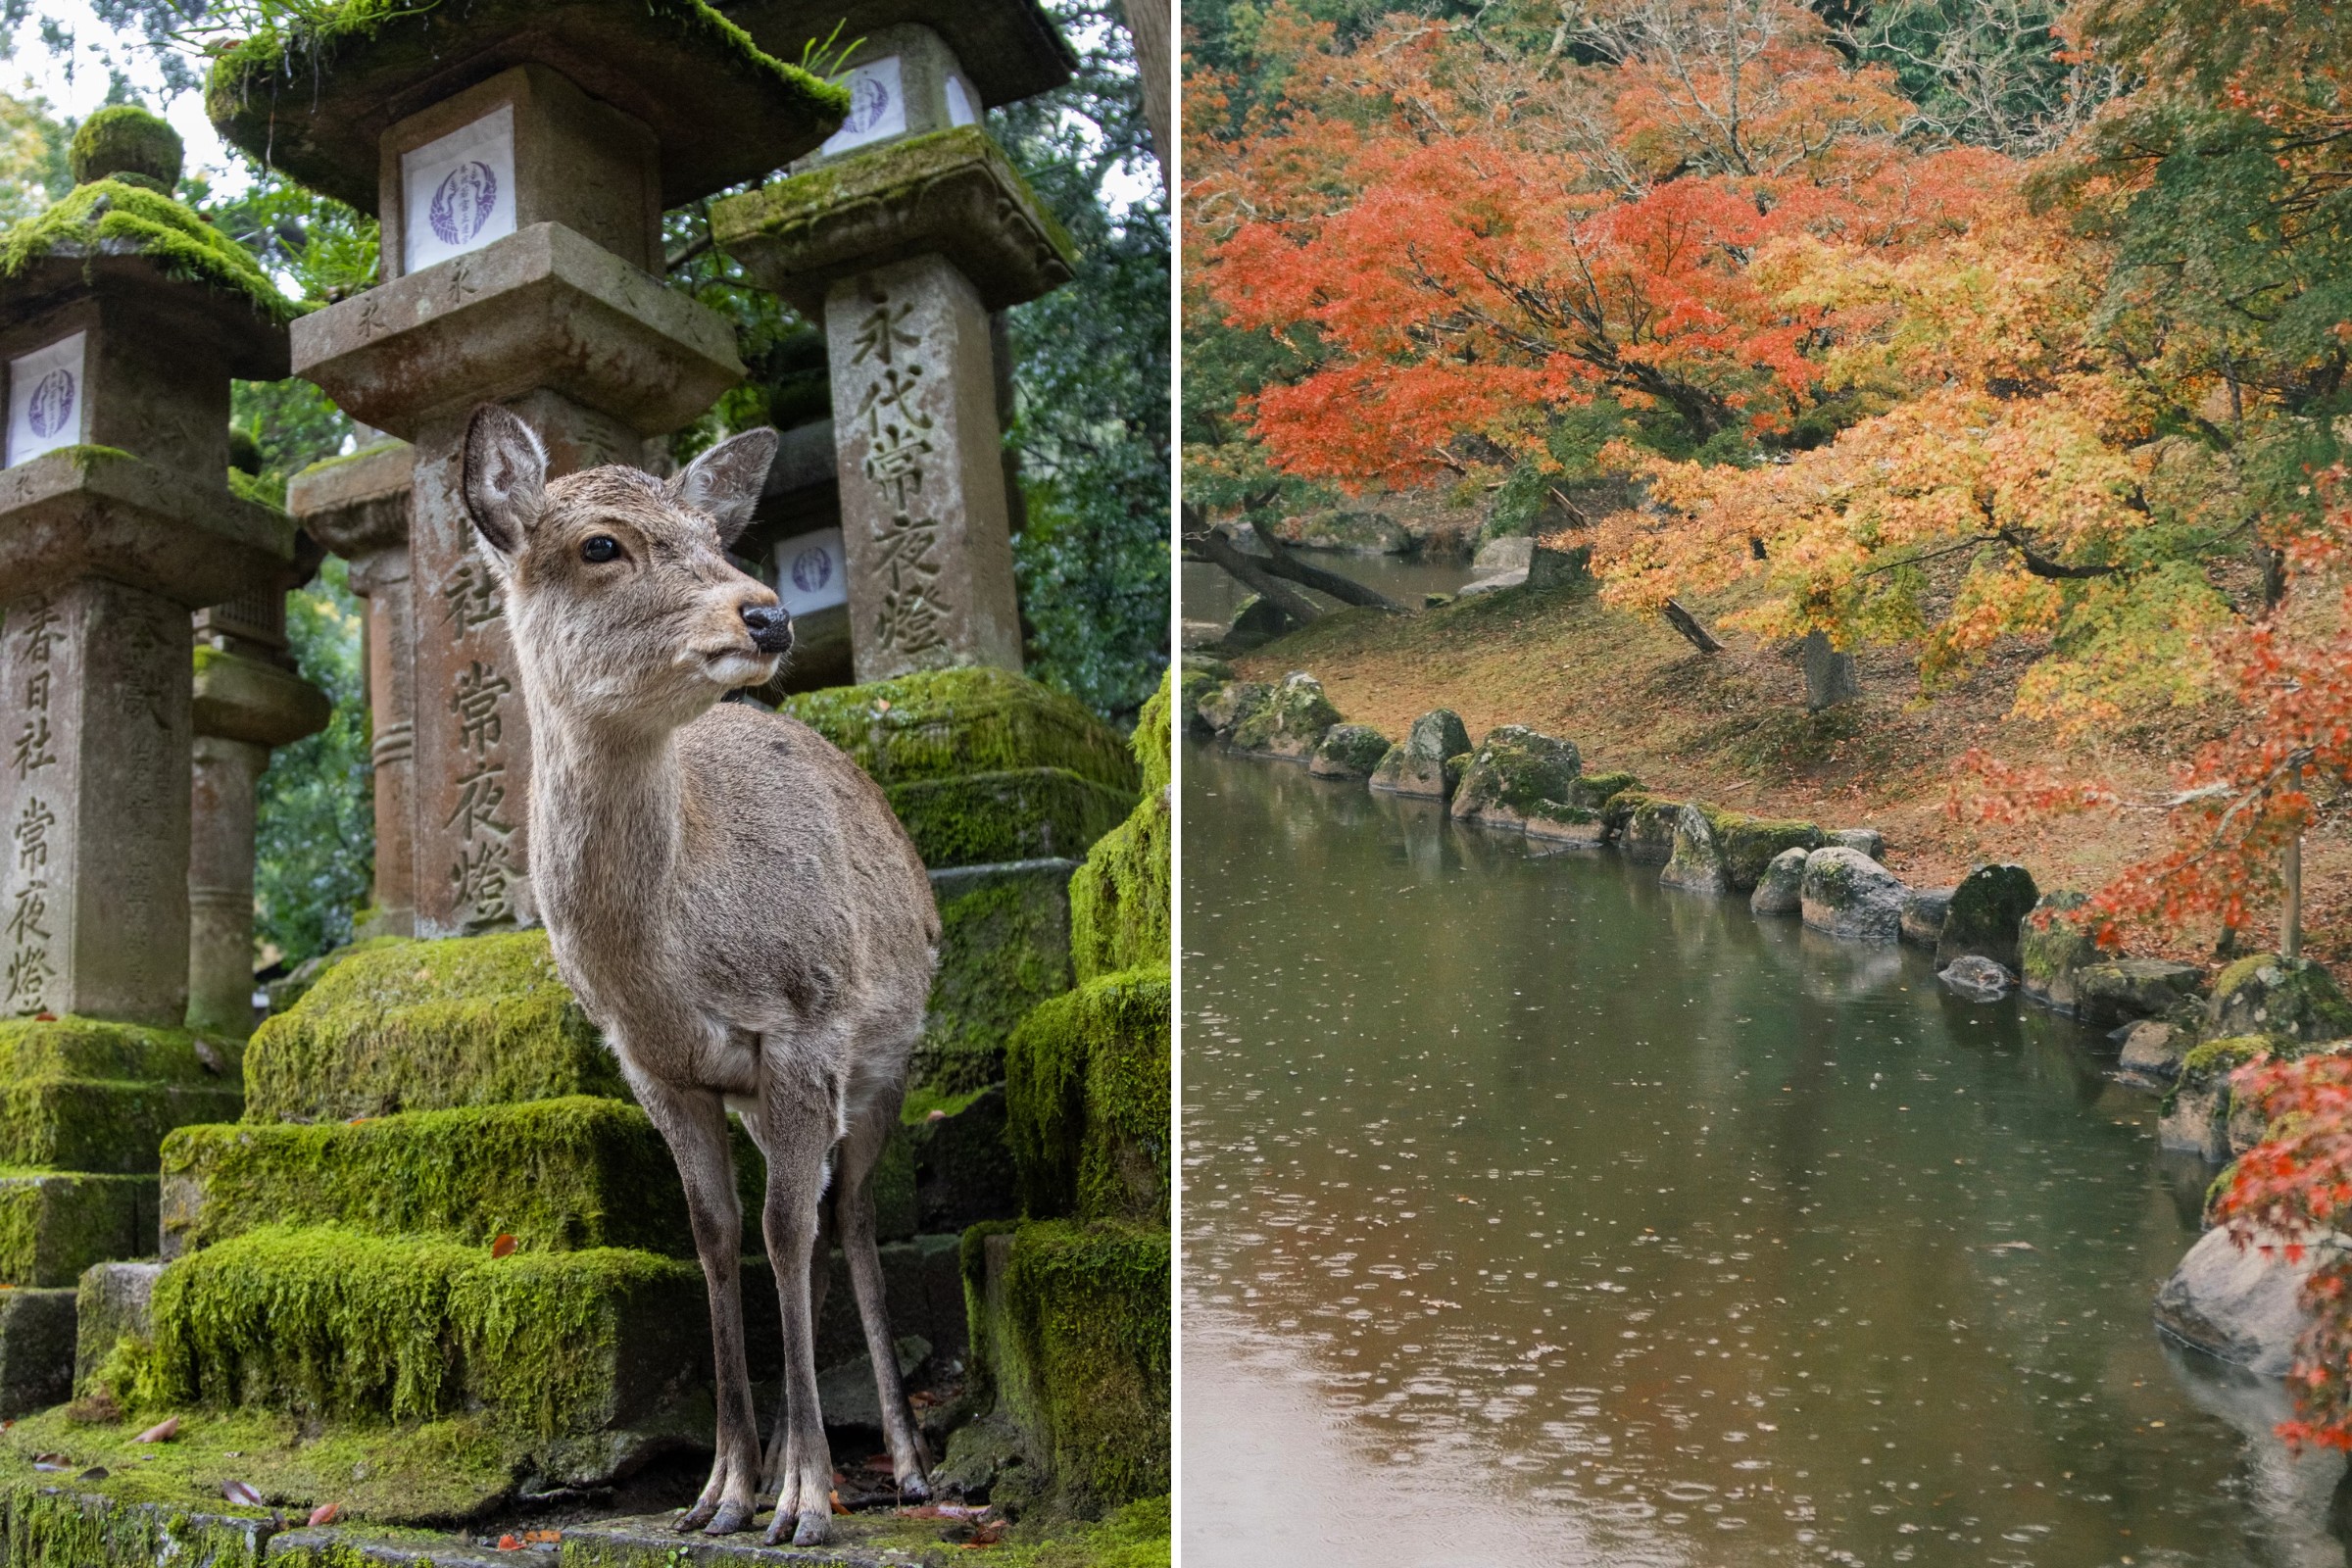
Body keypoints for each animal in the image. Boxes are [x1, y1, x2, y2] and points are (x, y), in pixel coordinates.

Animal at [459, 402, 936, 1542]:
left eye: (716, 538)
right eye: (601, 545)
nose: (766, 615)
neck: (672, 967)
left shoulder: (805, 1025)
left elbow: (786, 1230)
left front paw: (803, 1502)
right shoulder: (658, 1069)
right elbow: (716, 1235)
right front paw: (721, 1491)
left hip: (884, 1064)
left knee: (849, 1219)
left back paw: (903, 1465)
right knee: (812, 1220)